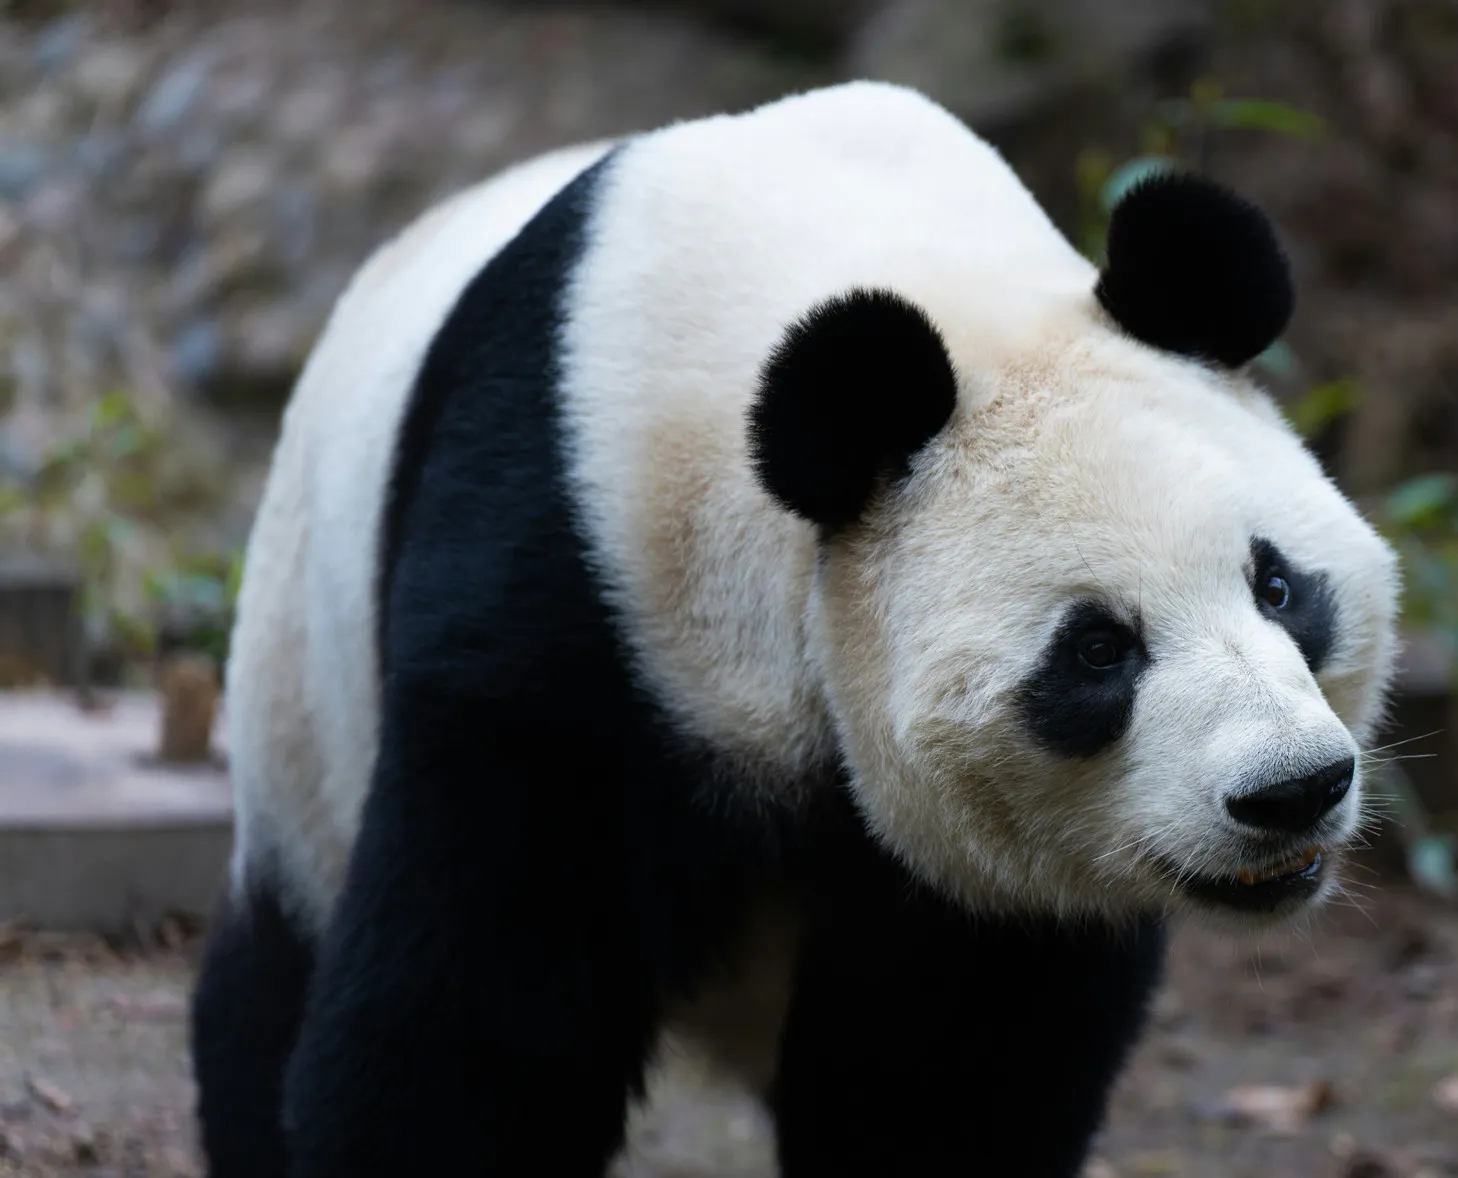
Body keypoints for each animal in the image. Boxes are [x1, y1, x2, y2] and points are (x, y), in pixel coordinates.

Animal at [189, 80, 1401, 1178]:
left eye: (1277, 586)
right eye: (1098, 648)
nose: (1291, 788)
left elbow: (954, 1067)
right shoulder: (560, 585)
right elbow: (476, 1018)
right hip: (302, 706)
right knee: (264, 986)